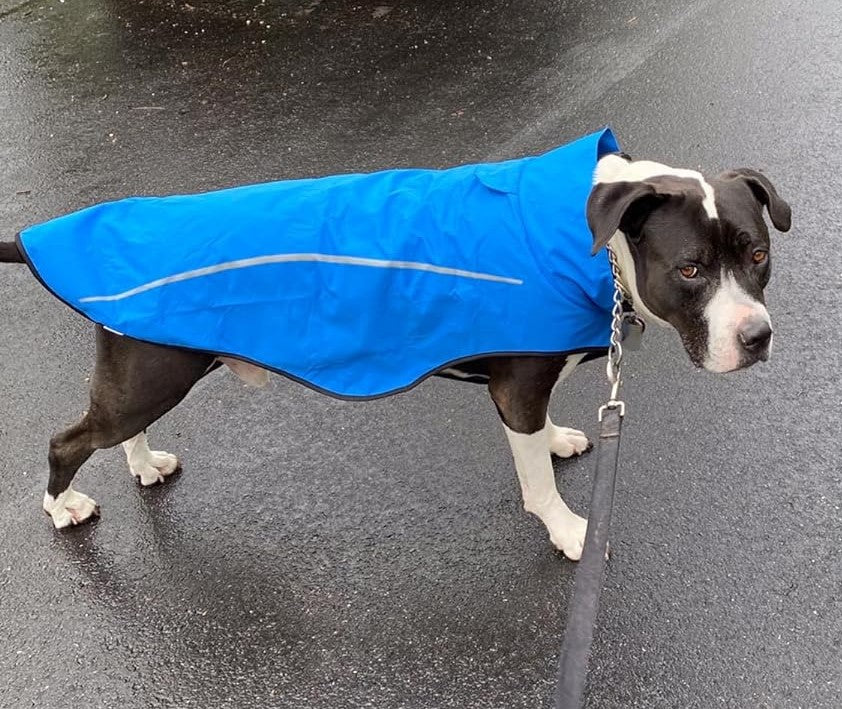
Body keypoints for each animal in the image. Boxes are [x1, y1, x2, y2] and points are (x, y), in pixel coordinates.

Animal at [0, 136, 788, 560]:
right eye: (690, 269)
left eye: (757, 254)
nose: (757, 336)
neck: (595, 242)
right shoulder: (517, 386)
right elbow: (536, 481)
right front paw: (570, 531)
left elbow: (541, 437)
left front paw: (559, 437)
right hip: (150, 373)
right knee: (70, 440)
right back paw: (62, 508)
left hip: (144, 364)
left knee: (119, 428)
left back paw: (142, 465)